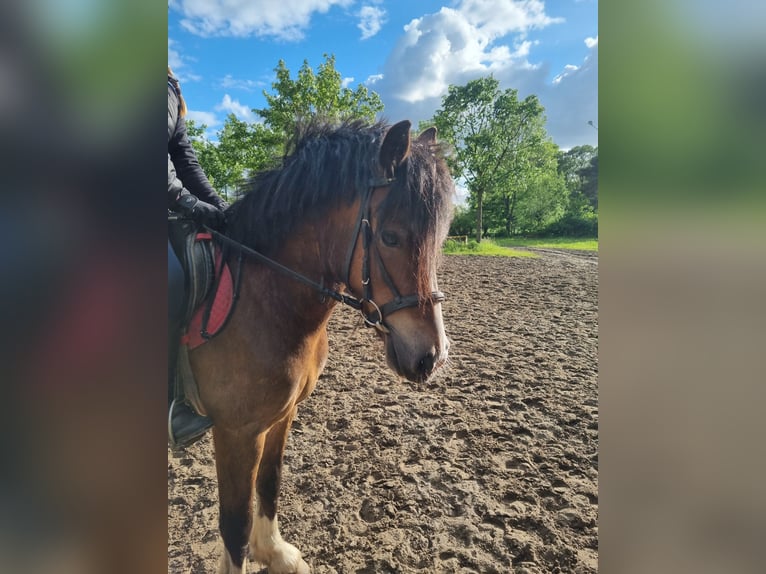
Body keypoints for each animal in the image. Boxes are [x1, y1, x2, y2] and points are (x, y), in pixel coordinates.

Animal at [187, 119, 455, 573]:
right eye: (390, 237)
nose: (431, 358)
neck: (265, 301)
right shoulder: (236, 433)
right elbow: (234, 525)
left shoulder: (281, 416)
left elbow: (271, 482)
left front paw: (276, 553)